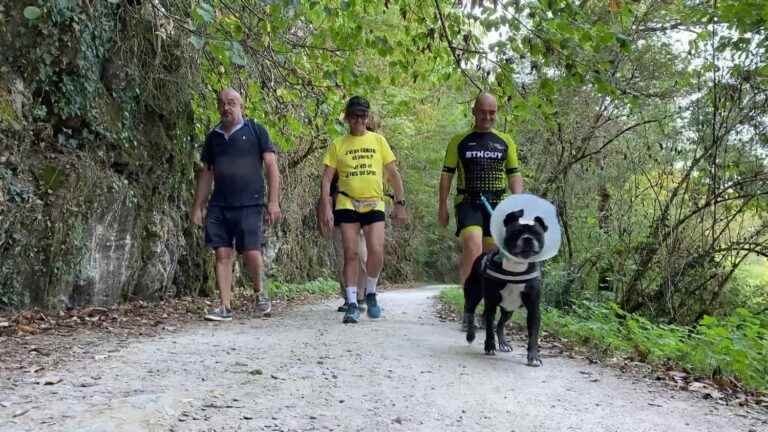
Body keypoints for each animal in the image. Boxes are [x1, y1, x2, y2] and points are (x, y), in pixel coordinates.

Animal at [462, 208, 544, 364]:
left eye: (537, 233)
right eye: (516, 231)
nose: (528, 239)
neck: (516, 268)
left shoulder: (533, 308)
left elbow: (533, 334)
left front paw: (534, 357)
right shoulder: (491, 303)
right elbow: (489, 327)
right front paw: (489, 346)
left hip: (508, 309)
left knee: (500, 325)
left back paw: (504, 344)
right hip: (473, 294)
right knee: (470, 312)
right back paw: (470, 334)